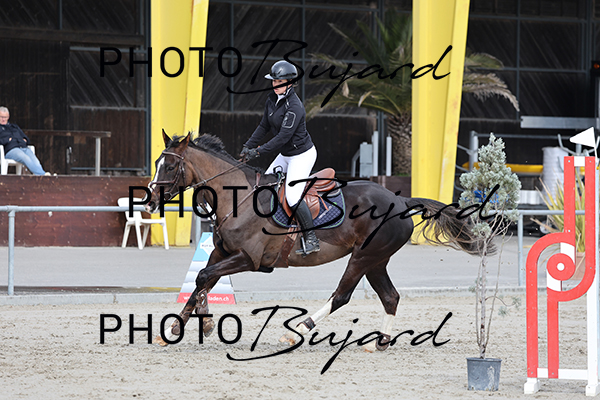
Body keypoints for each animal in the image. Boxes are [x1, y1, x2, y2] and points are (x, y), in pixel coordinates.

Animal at [145, 130, 482, 351]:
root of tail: (401, 201)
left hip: (362, 258)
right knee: (390, 297)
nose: (148, 201)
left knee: (342, 295)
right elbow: (202, 281)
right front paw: (175, 328)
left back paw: (297, 332)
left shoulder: (248, 259)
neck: (236, 198)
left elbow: (203, 278)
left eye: (170, 166)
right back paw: (380, 343)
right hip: (376, 260)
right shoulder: (219, 253)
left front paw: (199, 324)